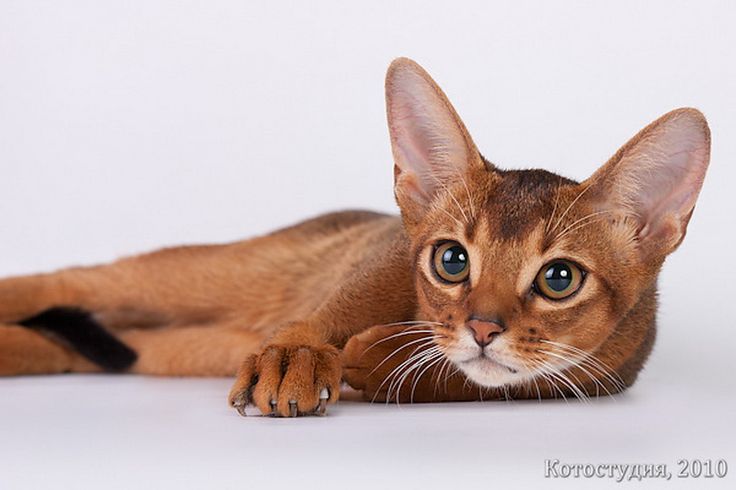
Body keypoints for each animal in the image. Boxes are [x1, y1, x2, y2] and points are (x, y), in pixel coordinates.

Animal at [0, 58, 710, 417]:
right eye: (452, 261)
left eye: (560, 278)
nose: (483, 328)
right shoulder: (388, 254)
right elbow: (344, 308)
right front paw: (298, 355)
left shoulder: (602, 376)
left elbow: (487, 380)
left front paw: (383, 360)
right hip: (197, 277)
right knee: (73, 281)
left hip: (161, 349)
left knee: (74, 343)